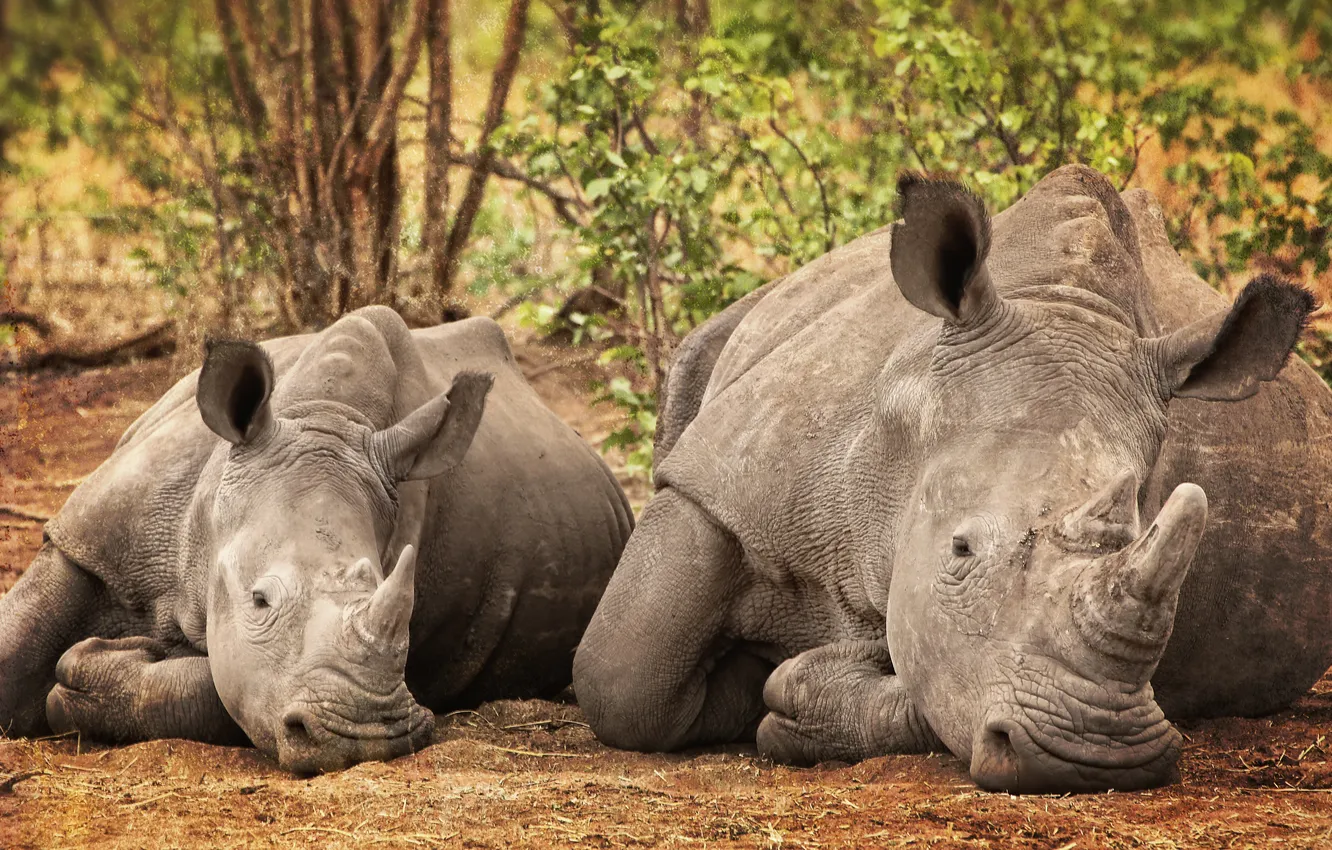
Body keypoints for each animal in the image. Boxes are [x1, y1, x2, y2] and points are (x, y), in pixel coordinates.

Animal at [0, 307, 633, 773]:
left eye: (400, 602)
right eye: (259, 601)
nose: (365, 735)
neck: (324, 414)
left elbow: (220, 694)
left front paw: (93, 671)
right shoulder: (91, 540)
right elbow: (13, 648)